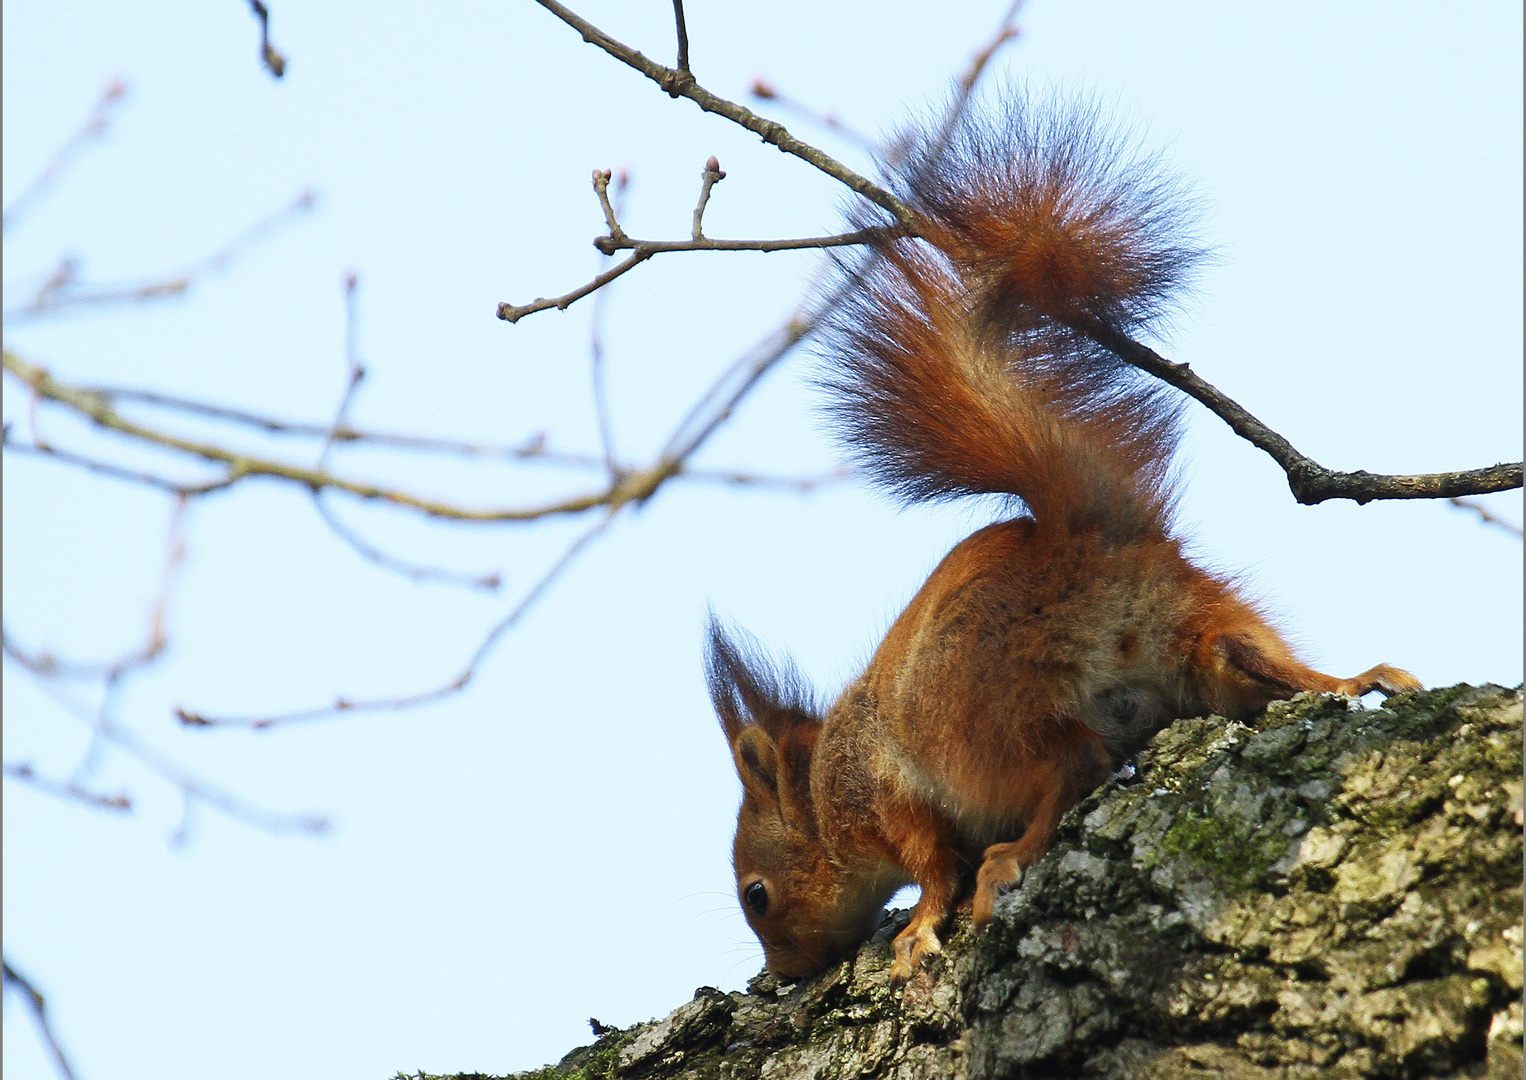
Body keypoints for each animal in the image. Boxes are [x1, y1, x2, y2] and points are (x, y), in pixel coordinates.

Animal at [701, 94, 1416, 988]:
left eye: (756, 895)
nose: (782, 975)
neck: (826, 784)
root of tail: (1084, 542)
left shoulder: (885, 801)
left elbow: (931, 866)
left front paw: (920, 924)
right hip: (1192, 634)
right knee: (1247, 659)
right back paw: (1357, 678)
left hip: (974, 712)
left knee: (1074, 762)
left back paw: (1008, 861)